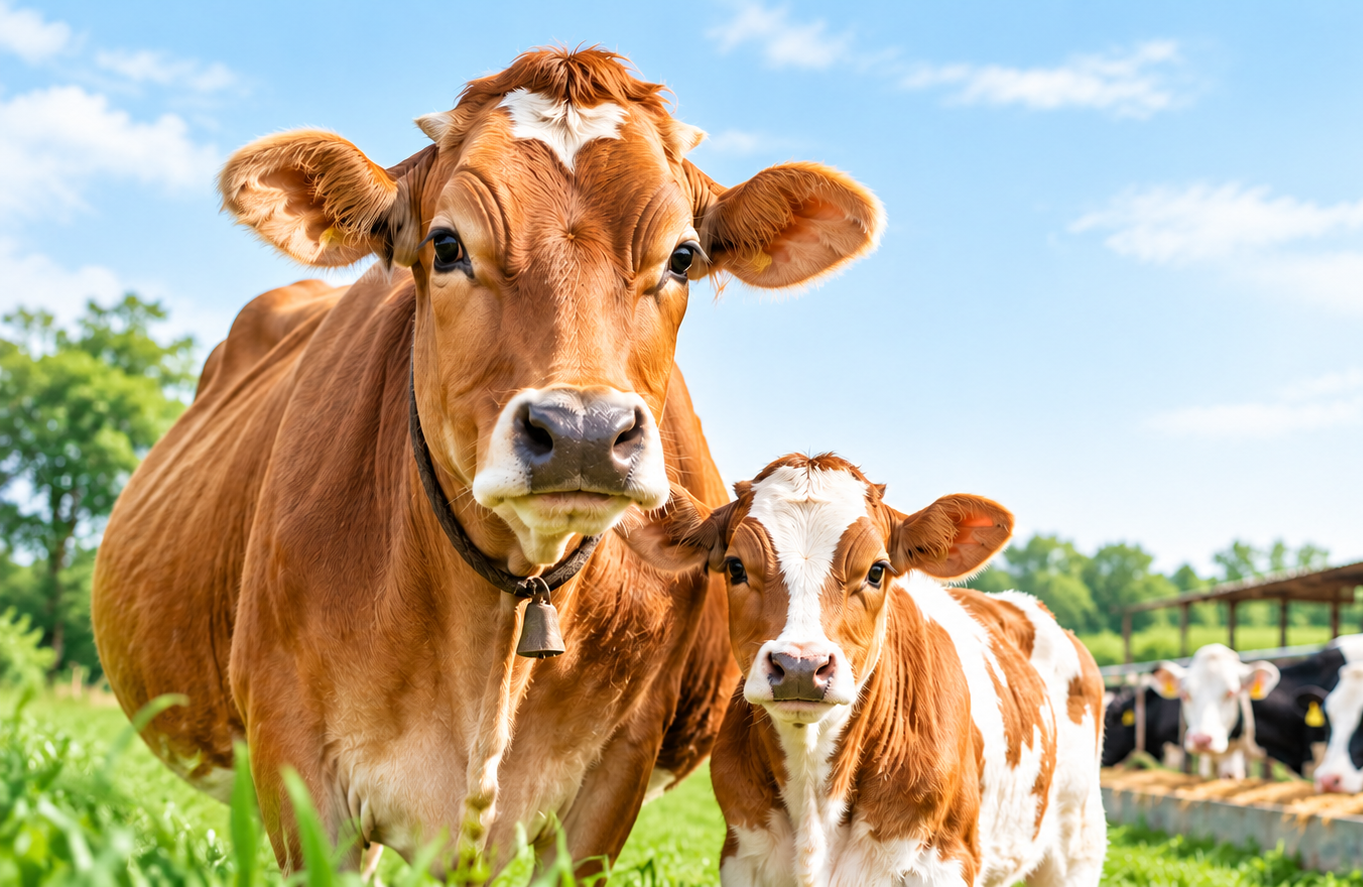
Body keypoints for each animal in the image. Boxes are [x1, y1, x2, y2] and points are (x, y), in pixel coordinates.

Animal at [621, 454, 1107, 887]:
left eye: (876, 571)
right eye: (736, 567)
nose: (801, 665)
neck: (814, 796)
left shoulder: (943, 862)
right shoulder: (744, 857)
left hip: (1079, 844)